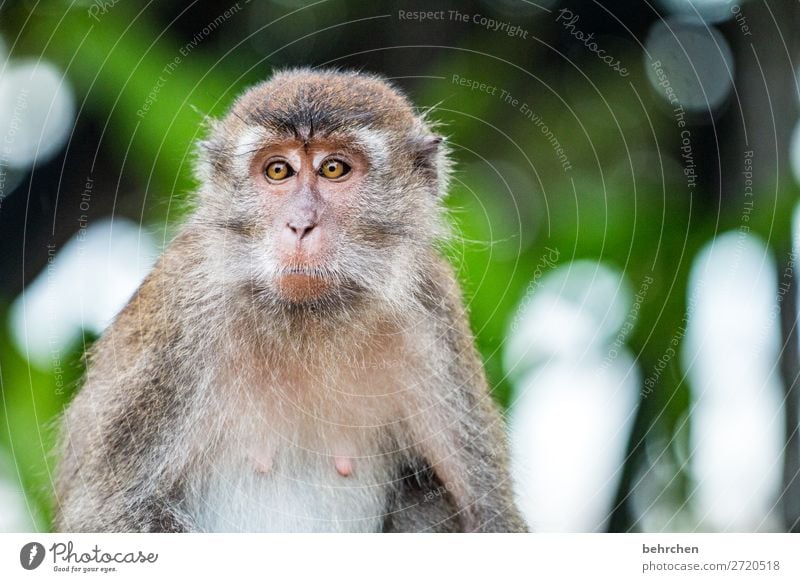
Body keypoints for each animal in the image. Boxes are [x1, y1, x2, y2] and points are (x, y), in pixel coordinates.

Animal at [53, 68, 528, 532]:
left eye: (333, 168)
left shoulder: (432, 313)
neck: (308, 319)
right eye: (279, 171)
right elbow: (108, 510)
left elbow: (490, 515)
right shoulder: (181, 311)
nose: (300, 224)